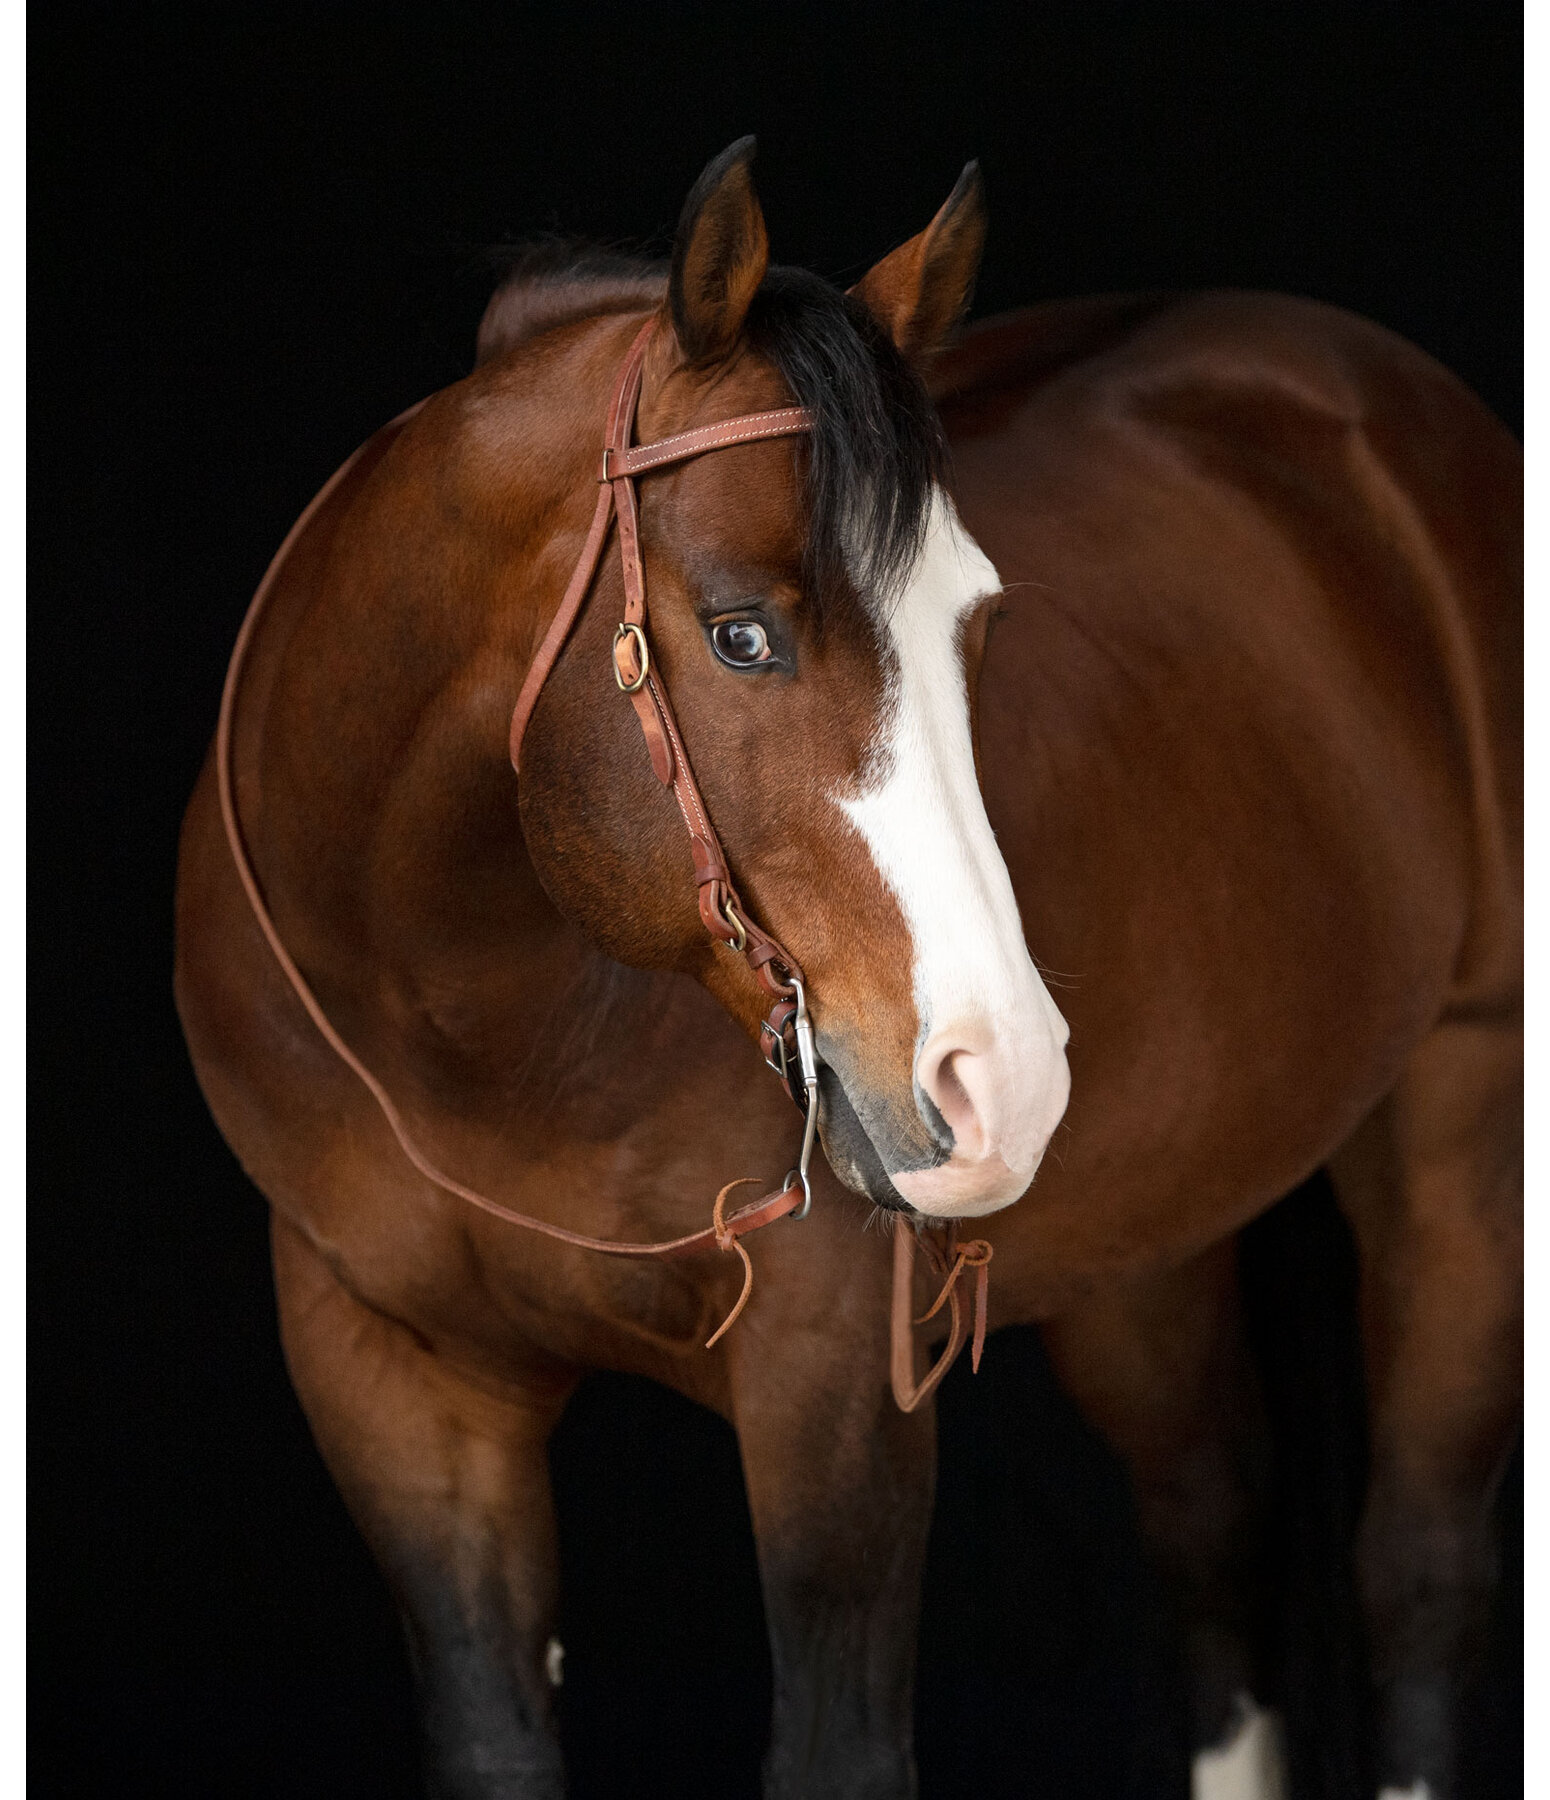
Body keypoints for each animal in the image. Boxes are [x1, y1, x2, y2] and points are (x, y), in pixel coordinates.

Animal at [169, 144, 1512, 1800]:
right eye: (740, 634)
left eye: (974, 628)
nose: (1002, 1078)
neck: (465, 1026)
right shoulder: (394, 1383)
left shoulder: (829, 1395)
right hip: (1154, 1243)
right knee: (1216, 1531)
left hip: (1459, 1126)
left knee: (1417, 1568)